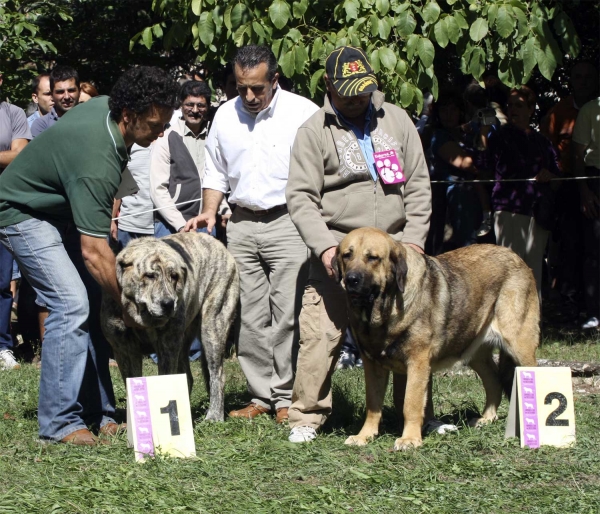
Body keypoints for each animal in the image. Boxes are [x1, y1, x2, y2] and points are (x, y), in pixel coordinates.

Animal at [101, 232, 239, 420]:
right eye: (150, 276)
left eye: (174, 276)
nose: (168, 304)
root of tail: (218, 243)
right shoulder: (123, 349)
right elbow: (132, 382)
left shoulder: (167, 347)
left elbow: (165, 380)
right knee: (188, 377)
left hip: (212, 327)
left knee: (217, 373)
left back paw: (214, 416)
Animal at [332, 227, 540, 448]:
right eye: (347, 255)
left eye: (373, 258)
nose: (351, 279)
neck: (382, 310)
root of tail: (516, 256)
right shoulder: (373, 365)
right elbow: (373, 404)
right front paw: (364, 436)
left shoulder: (417, 363)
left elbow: (411, 403)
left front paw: (409, 439)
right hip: (474, 351)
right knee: (493, 382)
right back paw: (486, 419)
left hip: (519, 345)